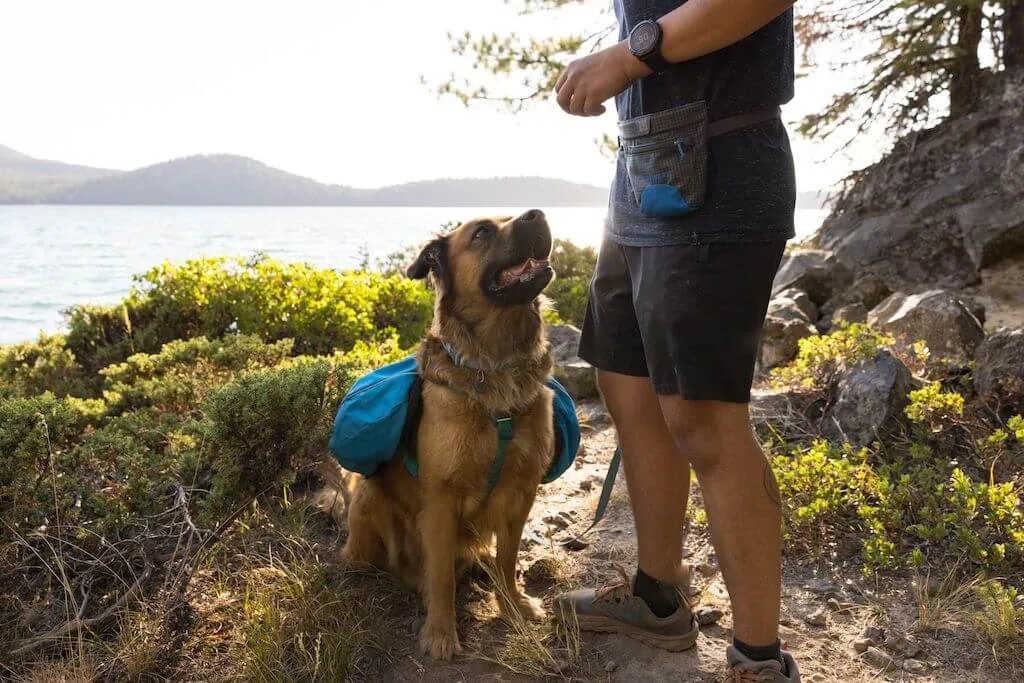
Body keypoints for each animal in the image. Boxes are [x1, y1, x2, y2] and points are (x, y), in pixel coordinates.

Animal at [337, 209, 561, 663]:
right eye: (482, 232)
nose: (539, 214)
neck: (496, 365)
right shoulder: (441, 500)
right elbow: (440, 575)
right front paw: (440, 633)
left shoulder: (522, 492)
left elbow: (508, 559)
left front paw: (512, 606)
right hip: (369, 497)